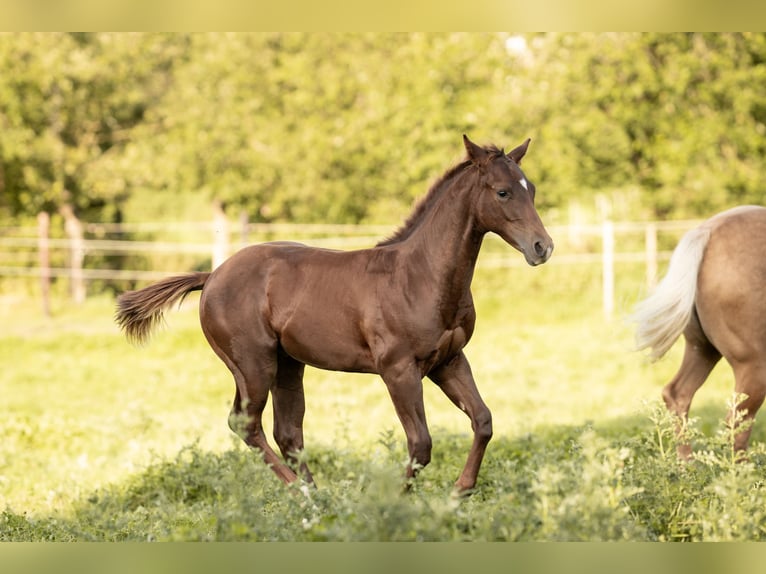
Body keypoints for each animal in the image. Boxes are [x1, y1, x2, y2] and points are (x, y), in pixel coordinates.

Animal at [115, 136, 552, 496]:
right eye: (502, 192)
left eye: (530, 189)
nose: (542, 247)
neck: (419, 275)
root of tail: (211, 277)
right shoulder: (399, 370)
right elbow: (421, 444)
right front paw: (395, 504)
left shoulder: (448, 361)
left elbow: (483, 420)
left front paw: (460, 492)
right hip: (253, 365)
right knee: (246, 424)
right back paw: (302, 495)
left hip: (288, 365)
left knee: (288, 432)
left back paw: (320, 498)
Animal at [632, 207, 766, 460]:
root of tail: (708, 231)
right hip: (754, 367)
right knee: (736, 424)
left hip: (702, 350)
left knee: (677, 394)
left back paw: (687, 464)